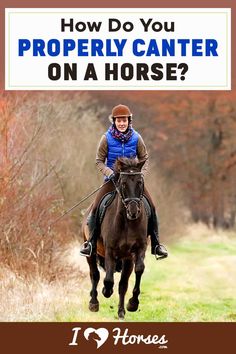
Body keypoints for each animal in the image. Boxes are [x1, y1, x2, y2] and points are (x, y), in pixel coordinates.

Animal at [81, 156, 148, 320]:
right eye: (123, 183)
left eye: (140, 182)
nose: (133, 211)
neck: (127, 222)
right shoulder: (110, 250)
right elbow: (108, 279)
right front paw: (106, 291)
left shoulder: (134, 252)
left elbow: (132, 275)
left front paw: (130, 305)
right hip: (90, 253)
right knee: (95, 274)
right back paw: (94, 302)